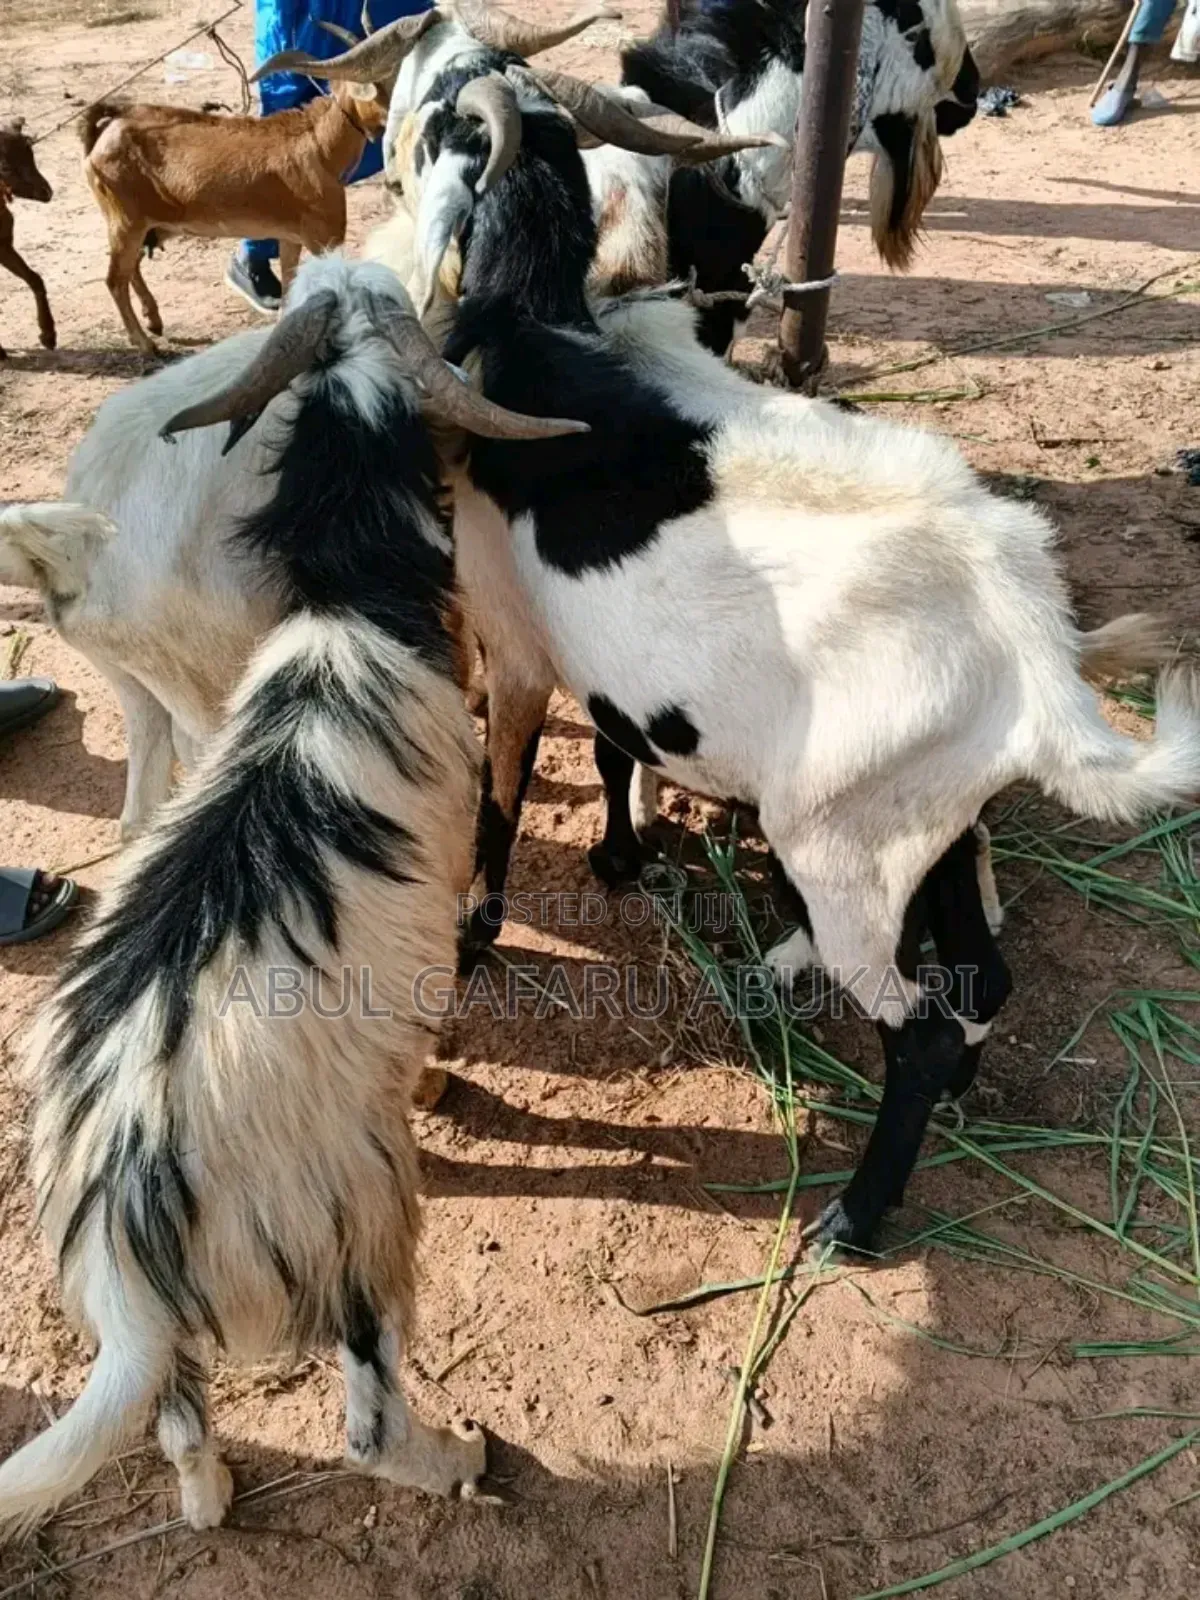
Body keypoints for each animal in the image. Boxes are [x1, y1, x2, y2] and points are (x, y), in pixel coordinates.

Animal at [0, 253, 588, 1535]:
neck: (346, 618)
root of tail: (119, 1235)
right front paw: (443, 1080)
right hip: (354, 1209)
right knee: (366, 1414)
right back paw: (463, 1454)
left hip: (177, 1333)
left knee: (178, 1416)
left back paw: (211, 1491)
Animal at [79, 68, 391, 354]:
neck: (320, 146)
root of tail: (106, 132)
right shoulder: (324, 235)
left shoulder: (292, 235)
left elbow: (290, 281)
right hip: (125, 220)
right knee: (115, 280)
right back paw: (144, 343)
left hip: (146, 224)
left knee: (131, 267)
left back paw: (153, 320)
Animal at [403, 76, 1200, 1255]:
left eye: (444, 127)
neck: (535, 322)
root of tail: (1030, 645)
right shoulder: (615, 663)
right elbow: (612, 749)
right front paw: (620, 856)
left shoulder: (519, 648)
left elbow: (503, 801)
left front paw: (474, 936)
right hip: (925, 815)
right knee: (981, 974)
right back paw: (951, 1092)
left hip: (839, 847)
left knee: (916, 1023)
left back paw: (855, 1214)